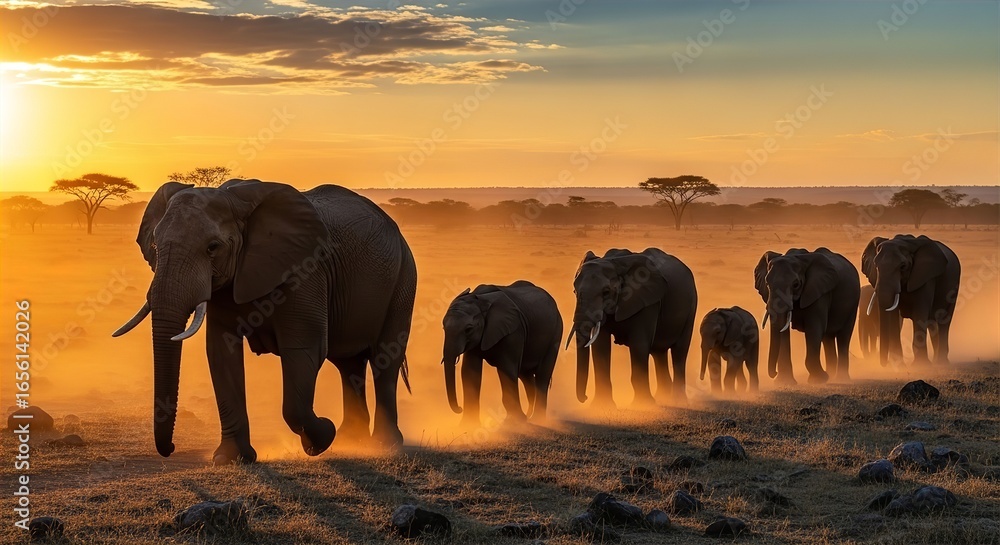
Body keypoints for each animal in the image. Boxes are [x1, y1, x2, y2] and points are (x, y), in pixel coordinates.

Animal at [112, 179, 417, 464]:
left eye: (212, 248)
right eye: (154, 245)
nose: (171, 448)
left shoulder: (305, 271)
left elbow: (304, 350)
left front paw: (322, 437)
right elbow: (221, 353)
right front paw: (230, 459)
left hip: (403, 279)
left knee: (384, 360)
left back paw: (382, 444)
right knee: (348, 365)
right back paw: (350, 442)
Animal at [441, 281, 562, 426]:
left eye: (468, 329)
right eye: (443, 327)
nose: (459, 408)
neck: (481, 300)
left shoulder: (513, 331)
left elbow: (506, 369)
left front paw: (515, 423)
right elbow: (470, 372)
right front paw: (468, 426)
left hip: (556, 333)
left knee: (542, 376)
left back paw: (537, 420)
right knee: (525, 375)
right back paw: (530, 416)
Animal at [570, 248, 697, 407]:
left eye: (606, 292)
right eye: (574, 291)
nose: (585, 397)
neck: (615, 262)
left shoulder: (648, 302)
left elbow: (639, 345)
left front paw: (644, 406)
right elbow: (600, 346)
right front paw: (601, 406)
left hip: (691, 307)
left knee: (679, 352)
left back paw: (678, 402)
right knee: (658, 353)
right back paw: (663, 398)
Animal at [754, 248, 860, 385]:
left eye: (796, 285)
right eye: (767, 284)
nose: (774, 373)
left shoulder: (819, 292)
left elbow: (814, 329)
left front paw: (819, 380)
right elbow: (783, 330)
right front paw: (785, 382)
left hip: (853, 303)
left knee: (843, 337)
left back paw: (840, 379)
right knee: (828, 338)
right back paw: (831, 376)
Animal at [861, 235, 960, 366]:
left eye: (903, 266)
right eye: (876, 266)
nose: (884, 364)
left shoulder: (925, 277)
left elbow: (919, 312)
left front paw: (921, 365)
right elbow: (893, 315)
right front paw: (899, 365)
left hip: (954, 285)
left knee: (943, 320)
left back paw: (941, 363)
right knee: (932, 323)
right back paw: (935, 361)